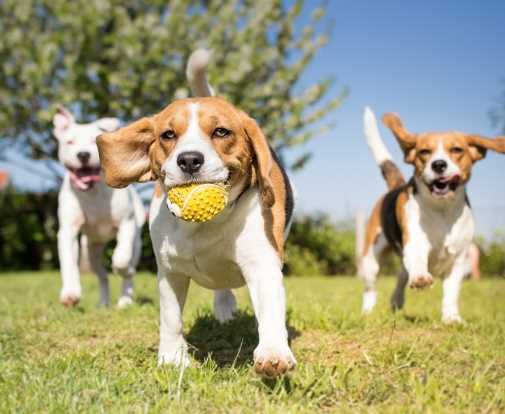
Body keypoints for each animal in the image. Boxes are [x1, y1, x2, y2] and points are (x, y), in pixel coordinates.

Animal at [52, 106, 144, 308]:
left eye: (94, 141)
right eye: (69, 142)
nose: (83, 154)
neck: (92, 192)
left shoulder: (126, 223)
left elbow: (121, 258)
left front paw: (121, 267)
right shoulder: (68, 231)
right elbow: (68, 263)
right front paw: (70, 293)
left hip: (136, 243)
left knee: (128, 268)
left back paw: (125, 300)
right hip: (91, 251)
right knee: (102, 276)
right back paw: (103, 303)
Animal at [95, 50, 296, 376]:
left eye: (221, 132)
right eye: (167, 135)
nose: (189, 159)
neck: (204, 225)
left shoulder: (262, 265)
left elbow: (269, 312)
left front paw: (273, 353)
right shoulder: (170, 272)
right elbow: (170, 318)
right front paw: (172, 358)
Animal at [358, 106, 504, 324]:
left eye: (457, 150)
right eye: (424, 152)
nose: (438, 165)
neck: (441, 210)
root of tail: (396, 186)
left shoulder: (458, 259)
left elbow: (451, 293)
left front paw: (452, 318)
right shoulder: (415, 243)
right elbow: (418, 261)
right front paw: (420, 278)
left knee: (401, 277)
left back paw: (396, 302)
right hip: (370, 260)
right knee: (370, 289)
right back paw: (368, 311)